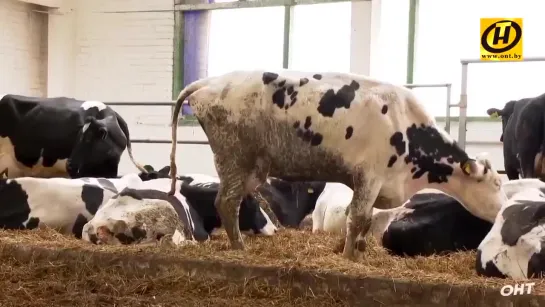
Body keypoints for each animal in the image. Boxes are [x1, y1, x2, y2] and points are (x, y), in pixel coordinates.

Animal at [169, 71, 506, 262]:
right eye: (498, 184)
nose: (503, 211)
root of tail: (210, 82)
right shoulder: (369, 175)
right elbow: (356, 218)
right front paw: (348, 257)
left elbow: (365, 220)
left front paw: (359, 251)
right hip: (234, 158)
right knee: (227, 203)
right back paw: (240, 248)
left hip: (253, 168)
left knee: (230, 202)